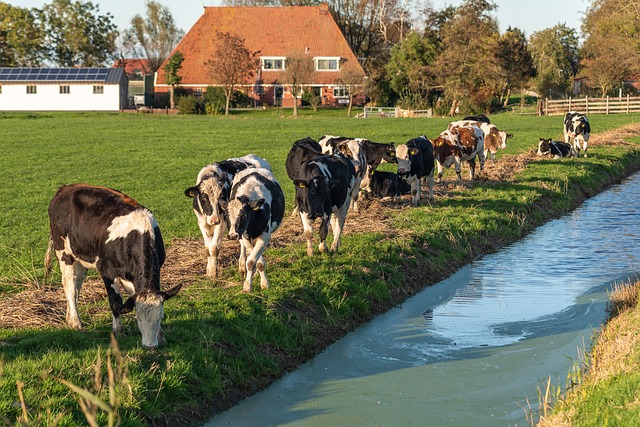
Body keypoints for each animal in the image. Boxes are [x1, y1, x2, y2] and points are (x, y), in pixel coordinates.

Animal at [44, 184, 180, 352]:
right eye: (139, 318)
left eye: (160, 317)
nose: (150, 347)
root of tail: (65, 188)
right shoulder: (107, 271)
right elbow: (115, 302)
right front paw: (118, 331)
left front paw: (161, 336)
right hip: (64, 252)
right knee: (69, 287)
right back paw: (76, 323)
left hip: (81, 258)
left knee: (76, 286)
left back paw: (70, 318)